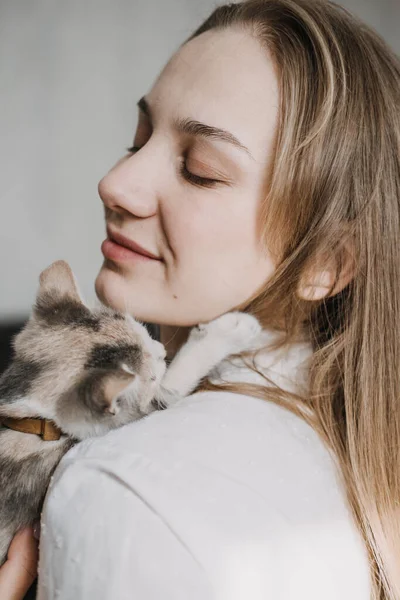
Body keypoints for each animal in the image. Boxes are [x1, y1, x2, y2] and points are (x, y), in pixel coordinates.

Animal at [0, 260, 260, 564]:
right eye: (151, 376)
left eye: (145, 332)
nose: (161, 351)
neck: (32, 419)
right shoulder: (151, 404)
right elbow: (172, 385)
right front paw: (232, 330)